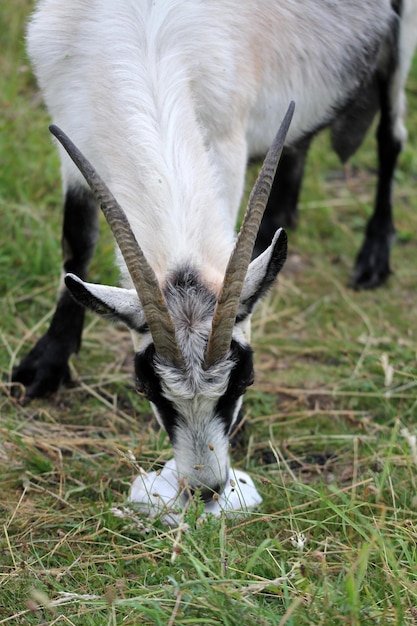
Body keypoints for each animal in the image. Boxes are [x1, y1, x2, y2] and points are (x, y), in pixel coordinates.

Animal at [13, 0, 416, 498]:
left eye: (245, 379)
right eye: (146, 388)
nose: (206, 487)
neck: (145, 40)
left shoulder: (226, 135)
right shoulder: (72, 127)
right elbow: (77, 241)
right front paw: (45, 365)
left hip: (402, 40)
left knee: (390, 137)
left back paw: (373, 257)